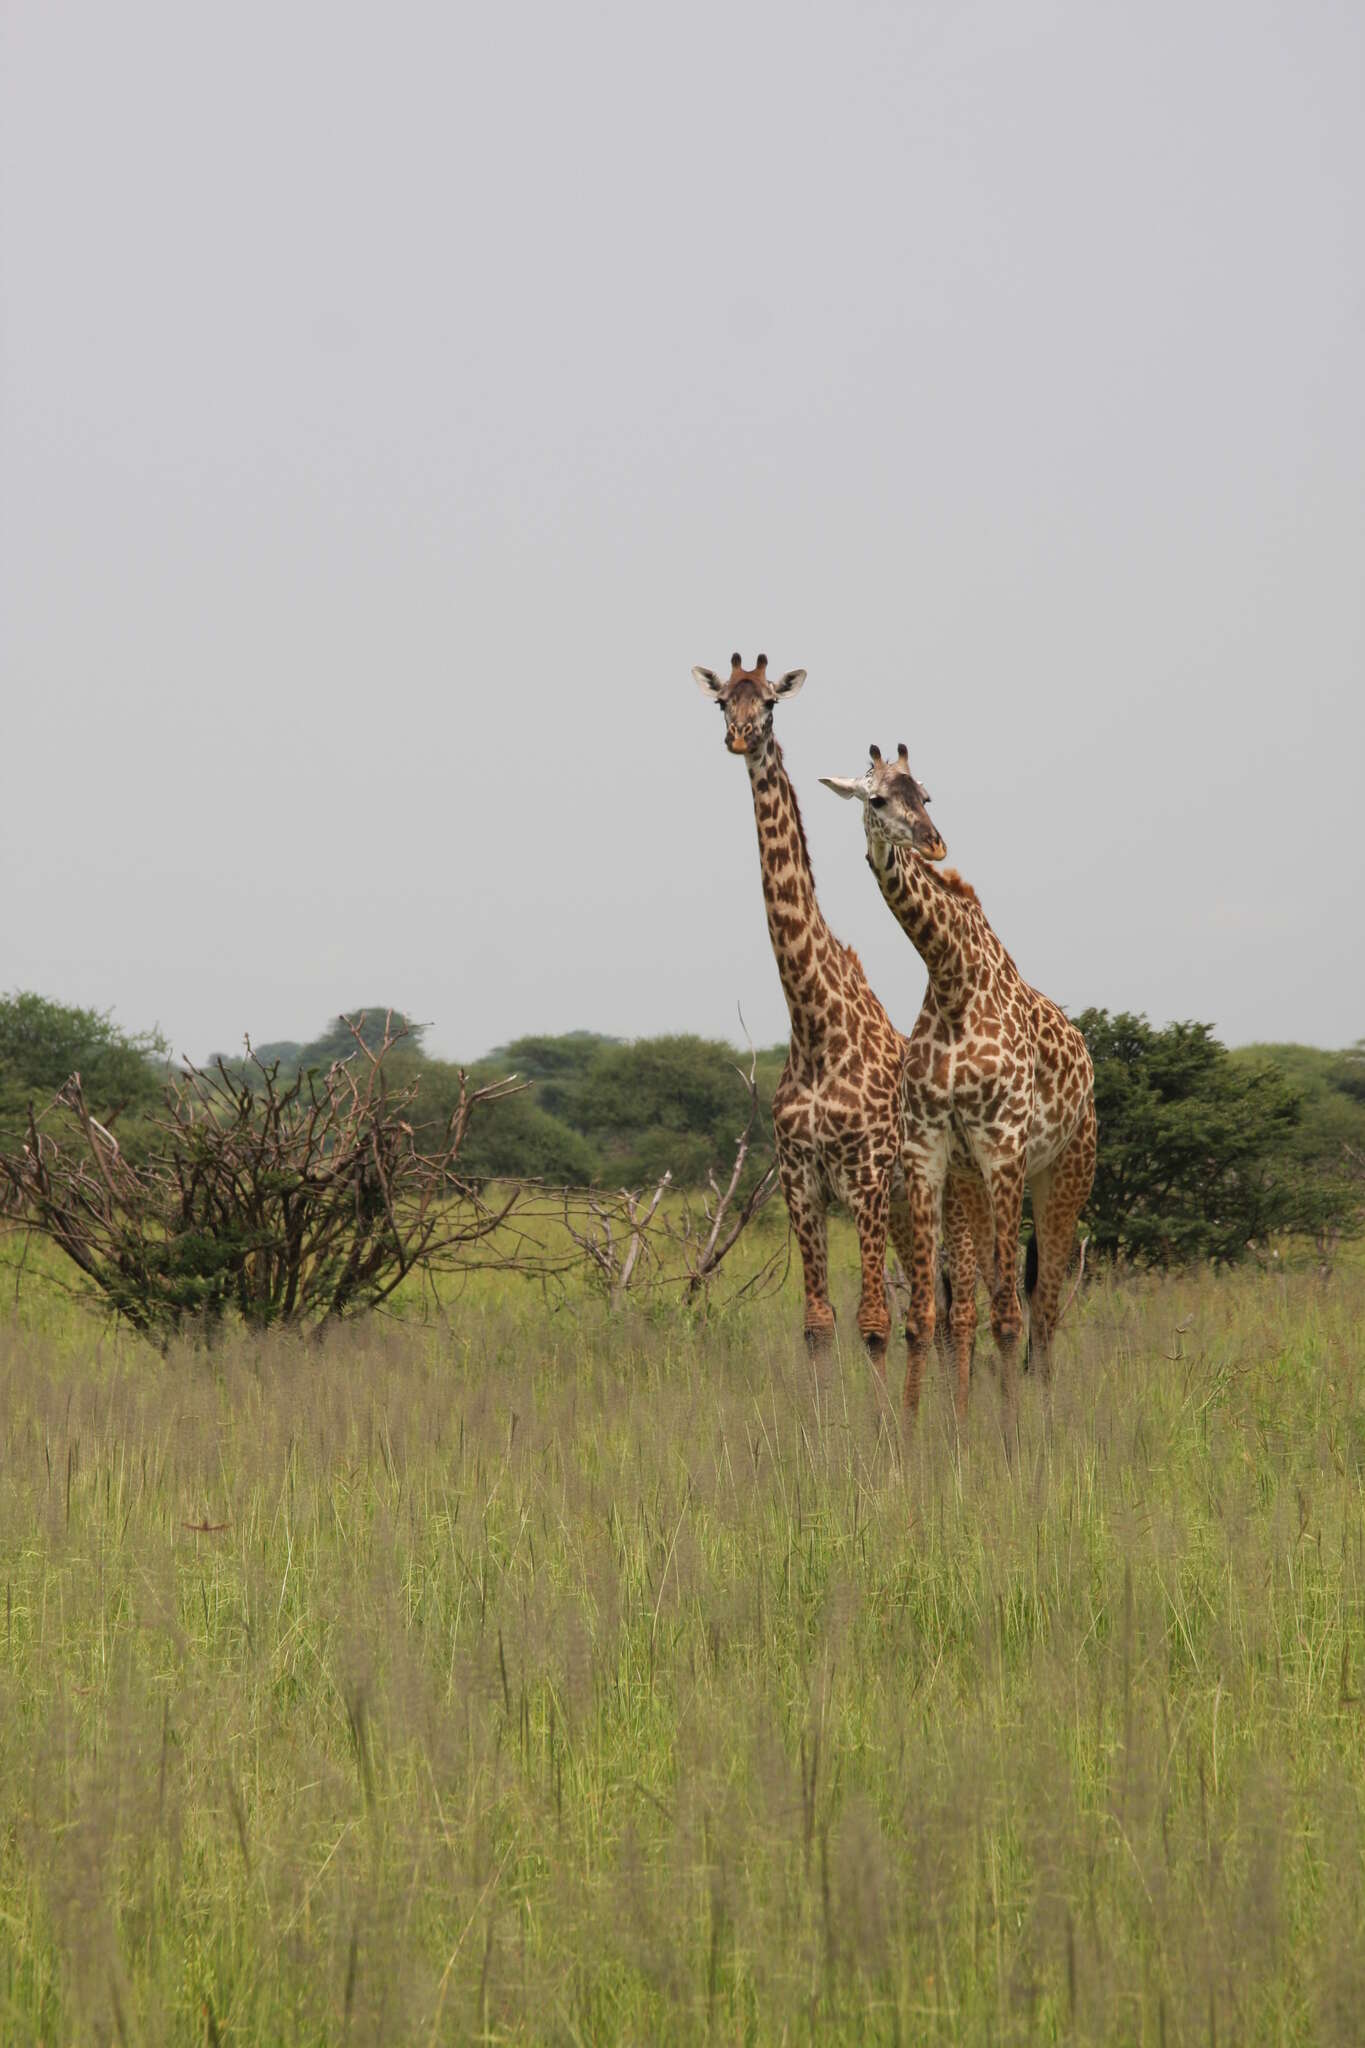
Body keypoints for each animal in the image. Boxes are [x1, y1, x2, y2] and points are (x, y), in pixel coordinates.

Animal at [687, 655, 978, 1359]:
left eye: (769, 702)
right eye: (722, 702)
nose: (740, 737)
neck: (815, 1026)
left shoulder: (866, 1178)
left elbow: (872, 1322)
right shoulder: (800, 1182)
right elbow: (819, 1323)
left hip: (947, 1198)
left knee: (958, 1314)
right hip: (906, 1211)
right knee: (934, 1313)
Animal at [822, 737, 1096, 1425]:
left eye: (926, 793)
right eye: (876, 798)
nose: (935, 842)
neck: (951, 980)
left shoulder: (1004, 1146)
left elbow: (1009, 1317)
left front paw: (1010, 1438)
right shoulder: (927, 1152)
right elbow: (924, 1314)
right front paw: (917, 1432)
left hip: (1065, 1173)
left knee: (1042, 1312)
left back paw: (1042, 1420)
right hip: (977, 1182)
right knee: (995, 1300)